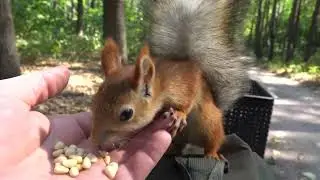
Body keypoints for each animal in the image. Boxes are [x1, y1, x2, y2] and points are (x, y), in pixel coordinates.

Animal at [89, 0, 250, 160]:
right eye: (93, 102)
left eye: (126, 114)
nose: (96, 142)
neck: (160, 85)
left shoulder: (185, 84)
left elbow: (188, 101)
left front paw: (179, 114)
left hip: (209, 122)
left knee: (214, 141)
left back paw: (212, 154)